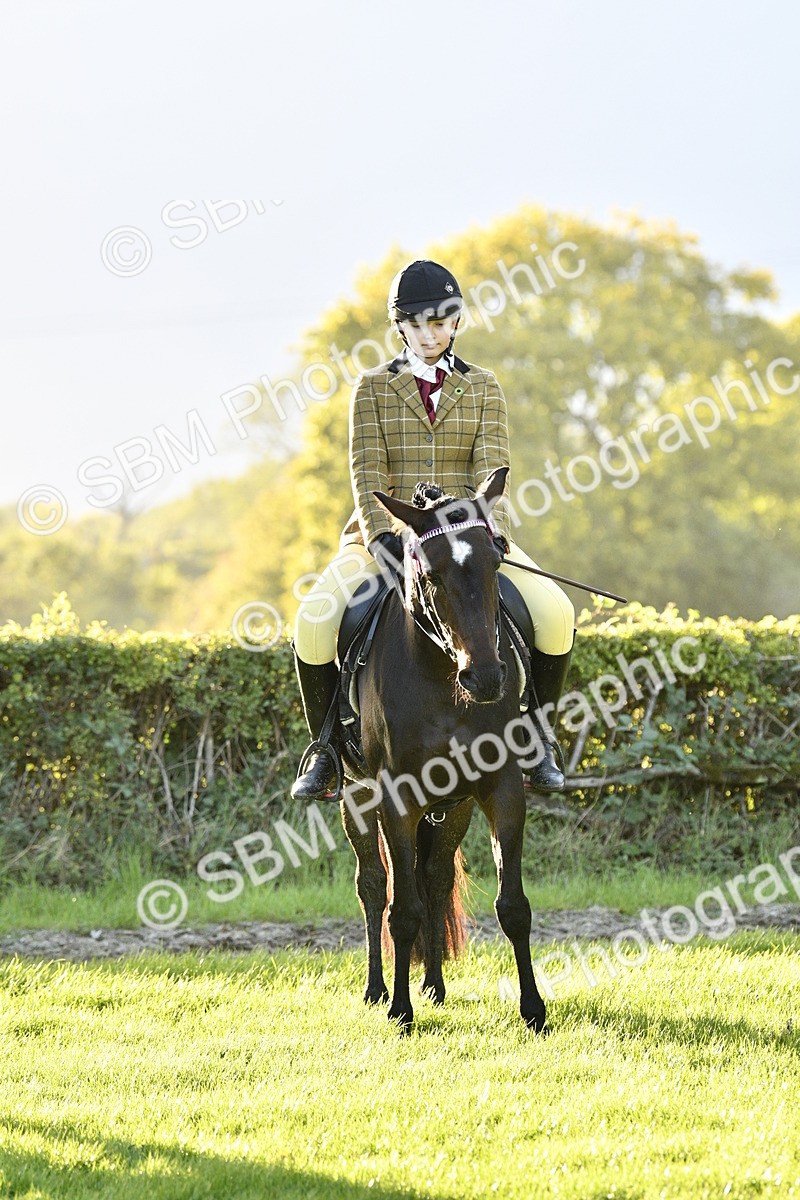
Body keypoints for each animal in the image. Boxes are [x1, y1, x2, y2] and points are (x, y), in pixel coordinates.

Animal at [340, 466, 548, 1033]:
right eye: (430, 574)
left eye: (496, 562)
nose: (487, 678)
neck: (441, 680)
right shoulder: (396, 799)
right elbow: (401, 909)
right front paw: (400, 1012)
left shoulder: (502, 790)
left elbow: (512, 905)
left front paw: (533, 1010)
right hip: (355, 798)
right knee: (374, 885)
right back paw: (377, 990)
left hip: (452, 808)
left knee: (433, 880)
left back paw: (434, 984)